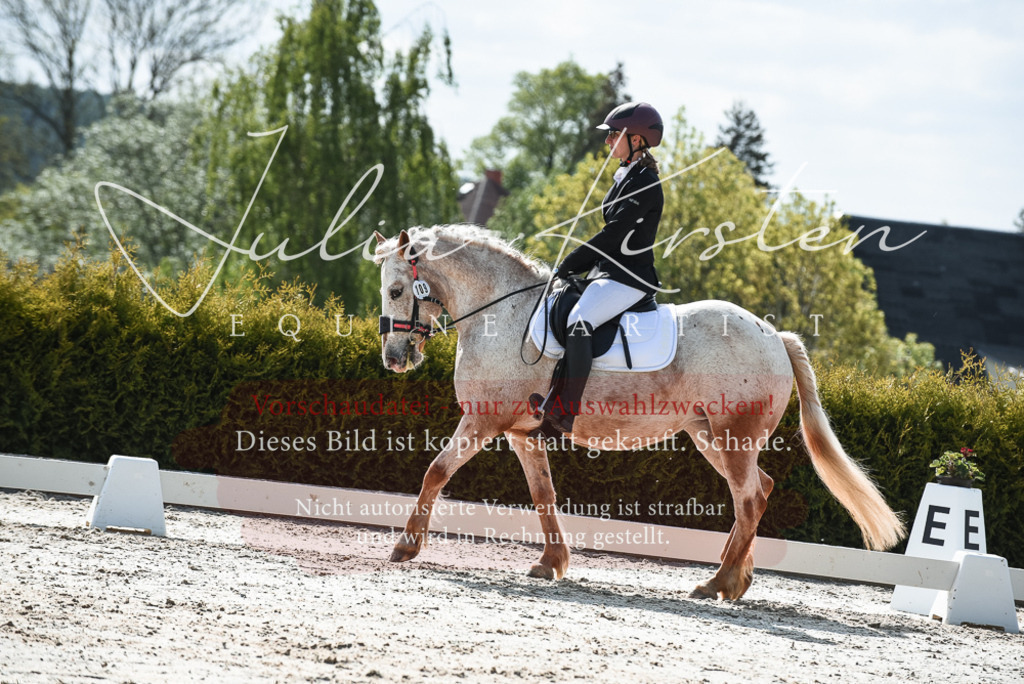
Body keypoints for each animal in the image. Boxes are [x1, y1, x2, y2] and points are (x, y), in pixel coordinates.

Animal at [373, 224, 905, 600]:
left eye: (396, 291)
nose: (394, 358)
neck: (501, 314)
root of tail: (776, 336)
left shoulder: (484, 421)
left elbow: (436, 470)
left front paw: (406, 545)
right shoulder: (522, 432)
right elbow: (543, 495)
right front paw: (552, 561)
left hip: (732, 436)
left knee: (750, 498)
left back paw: (717, 583)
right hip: (710, 436)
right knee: (758, 489)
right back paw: (737, 578)